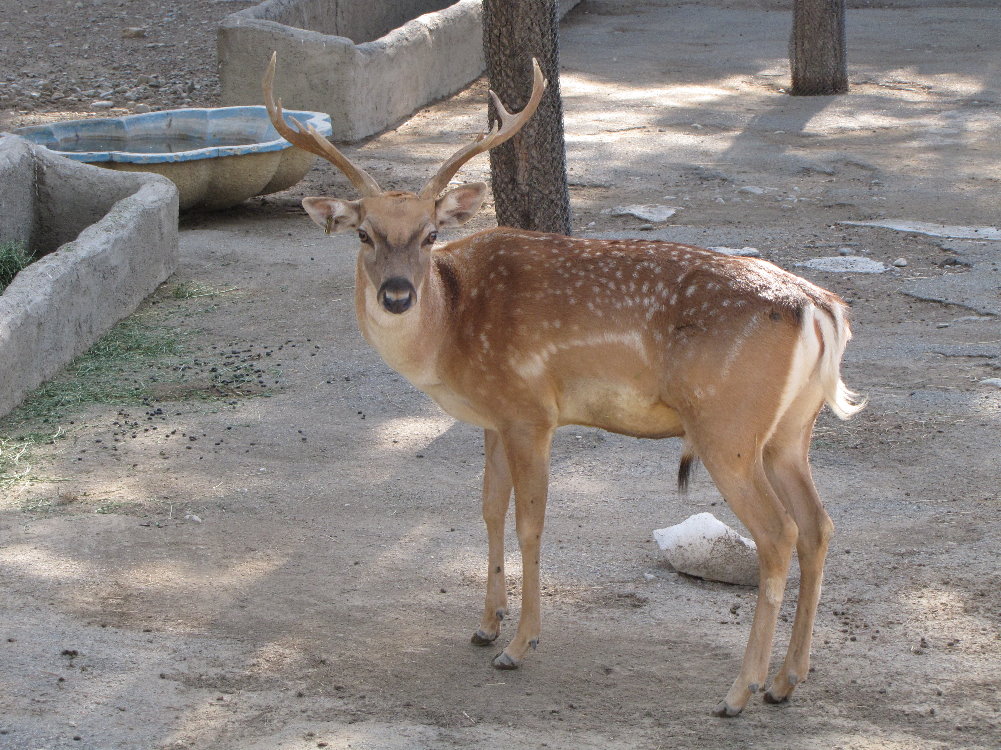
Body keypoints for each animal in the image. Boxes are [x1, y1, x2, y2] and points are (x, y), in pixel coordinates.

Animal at [263, 52, 865, 717]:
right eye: (364, 234)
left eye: (428, 234)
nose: (397, 294)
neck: (452, 332)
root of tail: (822, 309)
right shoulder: (494, 418)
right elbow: (488, 509)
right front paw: (485, 624)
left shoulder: (531, 412)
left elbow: (530, 523)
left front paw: (519, 645)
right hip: (789, 431)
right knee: (819, 527)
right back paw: (787, 680)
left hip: (728, 426)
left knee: (779, 535)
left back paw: (740, 691)